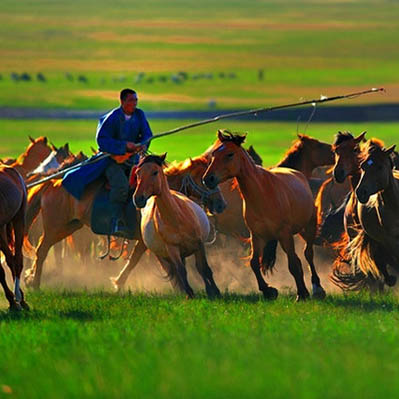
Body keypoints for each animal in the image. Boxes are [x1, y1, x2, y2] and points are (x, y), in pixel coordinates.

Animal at [23, 154, 227, 290]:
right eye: (205, 179)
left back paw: (31, 279)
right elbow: (150, 262)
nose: (221, 204)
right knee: (41, 251)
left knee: (43, 249)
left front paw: (118, 282)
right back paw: (35, 283)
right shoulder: (148, 241)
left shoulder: (144, 241)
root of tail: (51, 183)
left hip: (68, 226)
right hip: (55, 227)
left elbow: (135, 260)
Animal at [205, 131, 326, 304]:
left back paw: (317, 288)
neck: (263, 193)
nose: (208, 179)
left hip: (308, 228)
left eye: (229, 154)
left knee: (308, 254)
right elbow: (254, 263)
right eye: (214, 154)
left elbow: (293, 264)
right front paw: (269, 291)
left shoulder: (285, 235)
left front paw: (301, 293)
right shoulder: (256, 236)